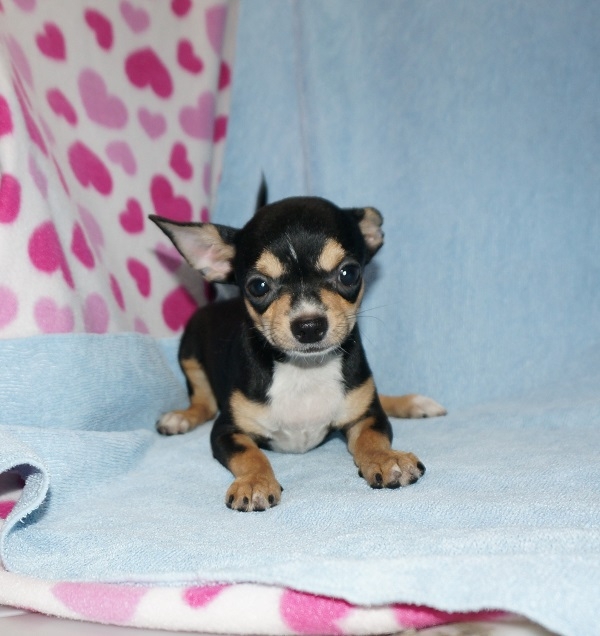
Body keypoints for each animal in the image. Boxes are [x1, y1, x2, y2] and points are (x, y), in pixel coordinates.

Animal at [150, 187, 446, 511]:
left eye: (349, 273)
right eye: (258, 286)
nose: (309, 325)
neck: (304, 370)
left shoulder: (369, 416)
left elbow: (372, 437)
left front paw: (386, 459)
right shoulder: (226, 431)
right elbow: (250, 454)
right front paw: (255, 482)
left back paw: (413, 403)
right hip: (189, 354)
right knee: (204, 403)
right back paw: (181, 417)